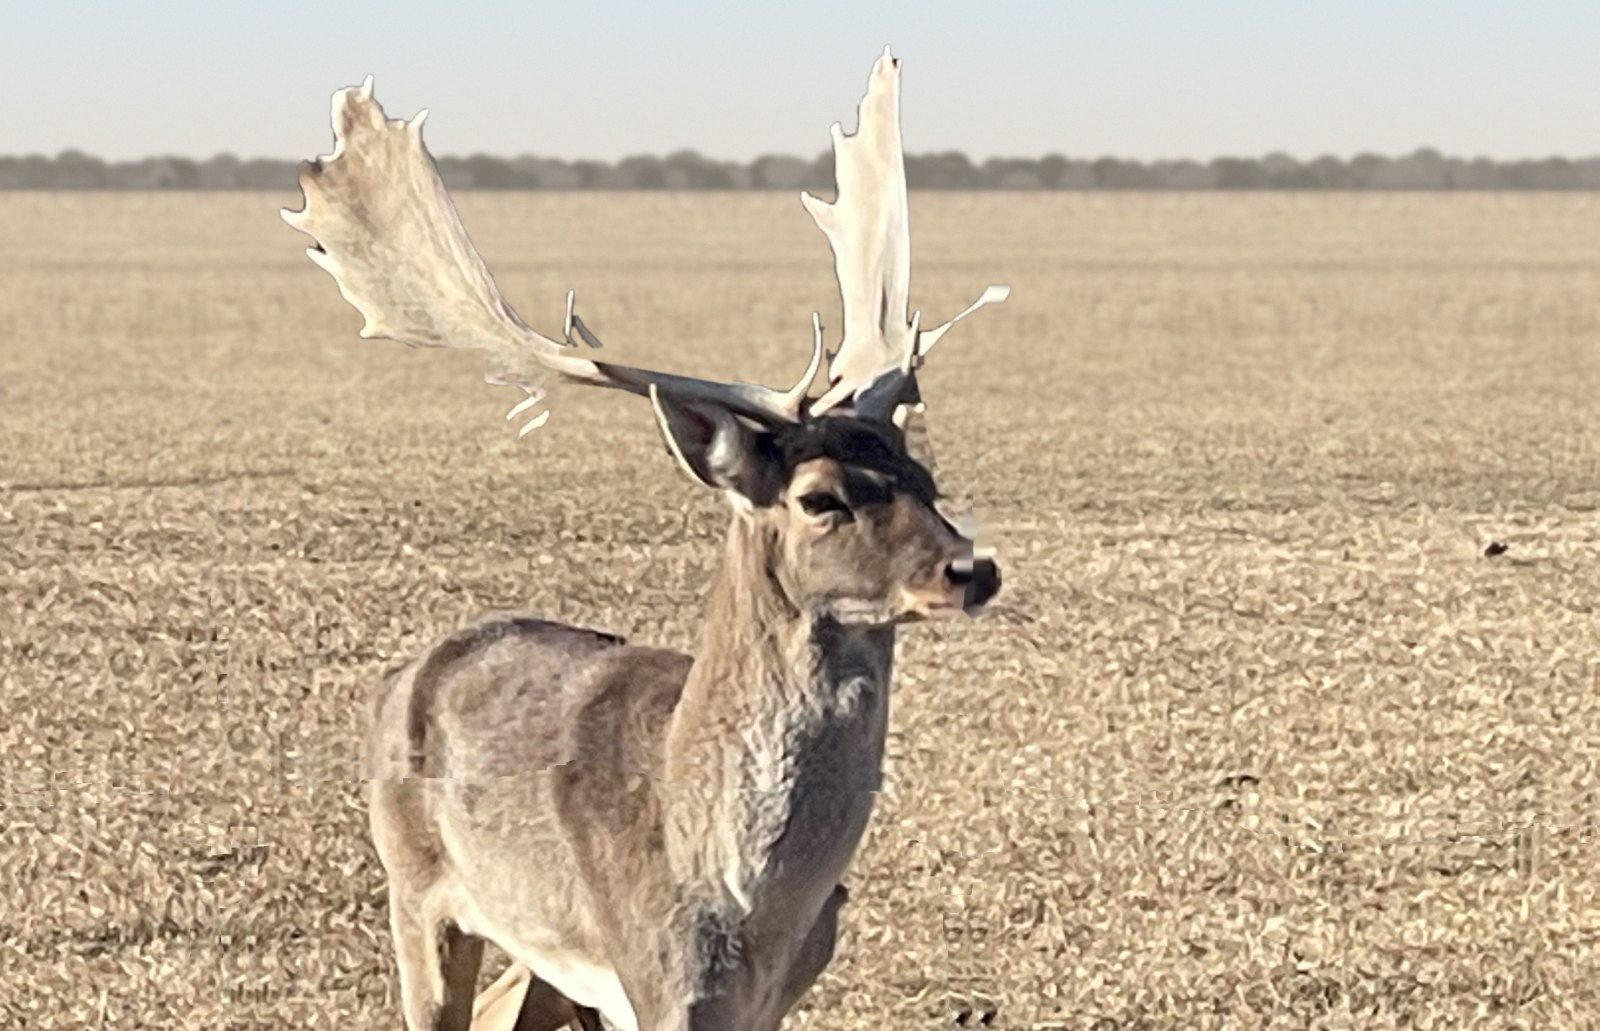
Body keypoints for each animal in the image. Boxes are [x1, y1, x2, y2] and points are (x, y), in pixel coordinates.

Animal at [282, 46, 1008, 1031]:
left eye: (927, 479)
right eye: (820, 497)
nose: (971, 566)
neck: (740, 901)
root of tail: (403, 672)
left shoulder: (776, 989)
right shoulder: (656, 979)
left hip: (544, 957)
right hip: (417, 885)